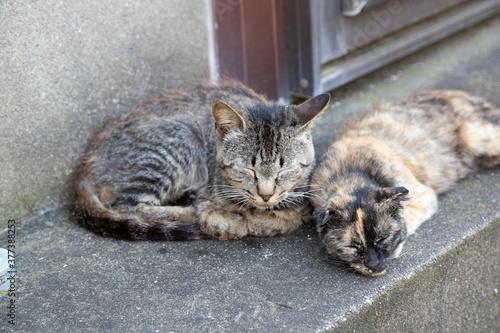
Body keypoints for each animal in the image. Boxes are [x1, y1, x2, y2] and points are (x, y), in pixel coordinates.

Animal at [74, 80, 330, 241]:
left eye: (284, 170)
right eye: (248, 169)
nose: (265, 195)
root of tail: (85, 163)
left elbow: (289, 213)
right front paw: (230, 216)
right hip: (178, 139)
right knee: (130, 208)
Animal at [310, 89, 498, 276]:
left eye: (383, 238)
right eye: (352, 247)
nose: (373, 264)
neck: (349, 171)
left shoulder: (423, 195)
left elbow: (406, 217)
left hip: (480, 135)